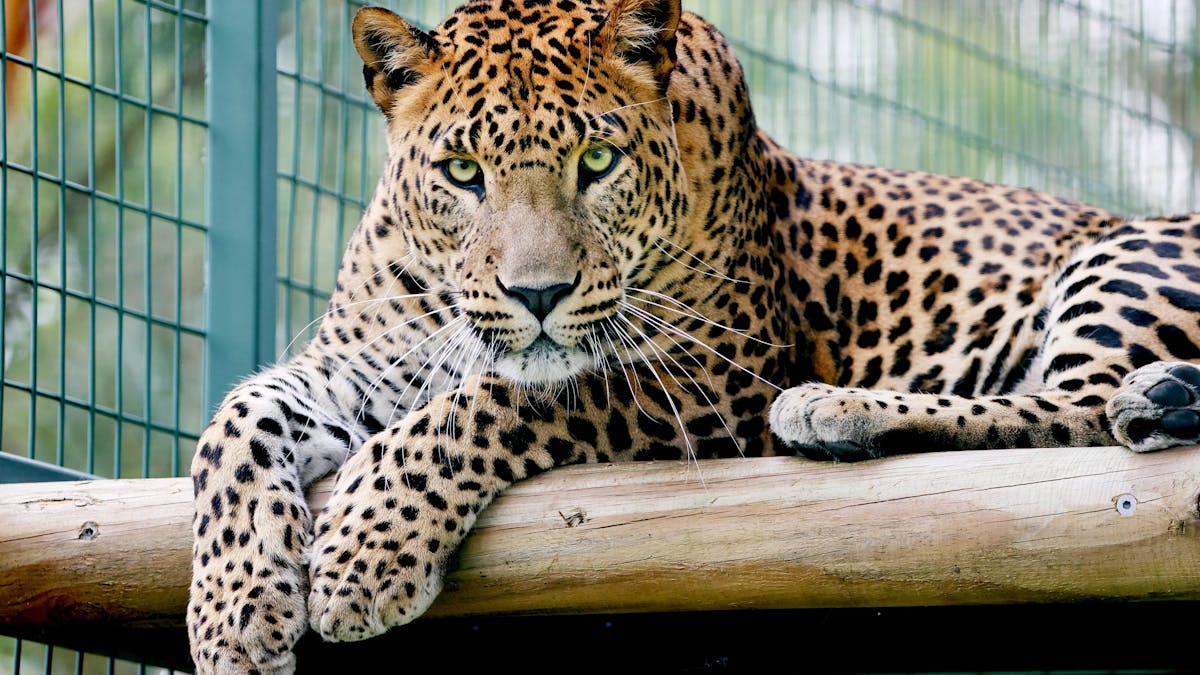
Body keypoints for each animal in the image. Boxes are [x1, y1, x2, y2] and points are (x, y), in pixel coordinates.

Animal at [186, 0, 1200, 672]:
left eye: (597, 161)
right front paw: (232, 609)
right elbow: (235, 419)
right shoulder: (363, 362)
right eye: (464, 173)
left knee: (1075, 416)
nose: (537, 293)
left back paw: (844, 409)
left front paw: (361, 553)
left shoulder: (713, 371)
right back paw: (1167, 397)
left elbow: (501, 397)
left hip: (1130, 252)